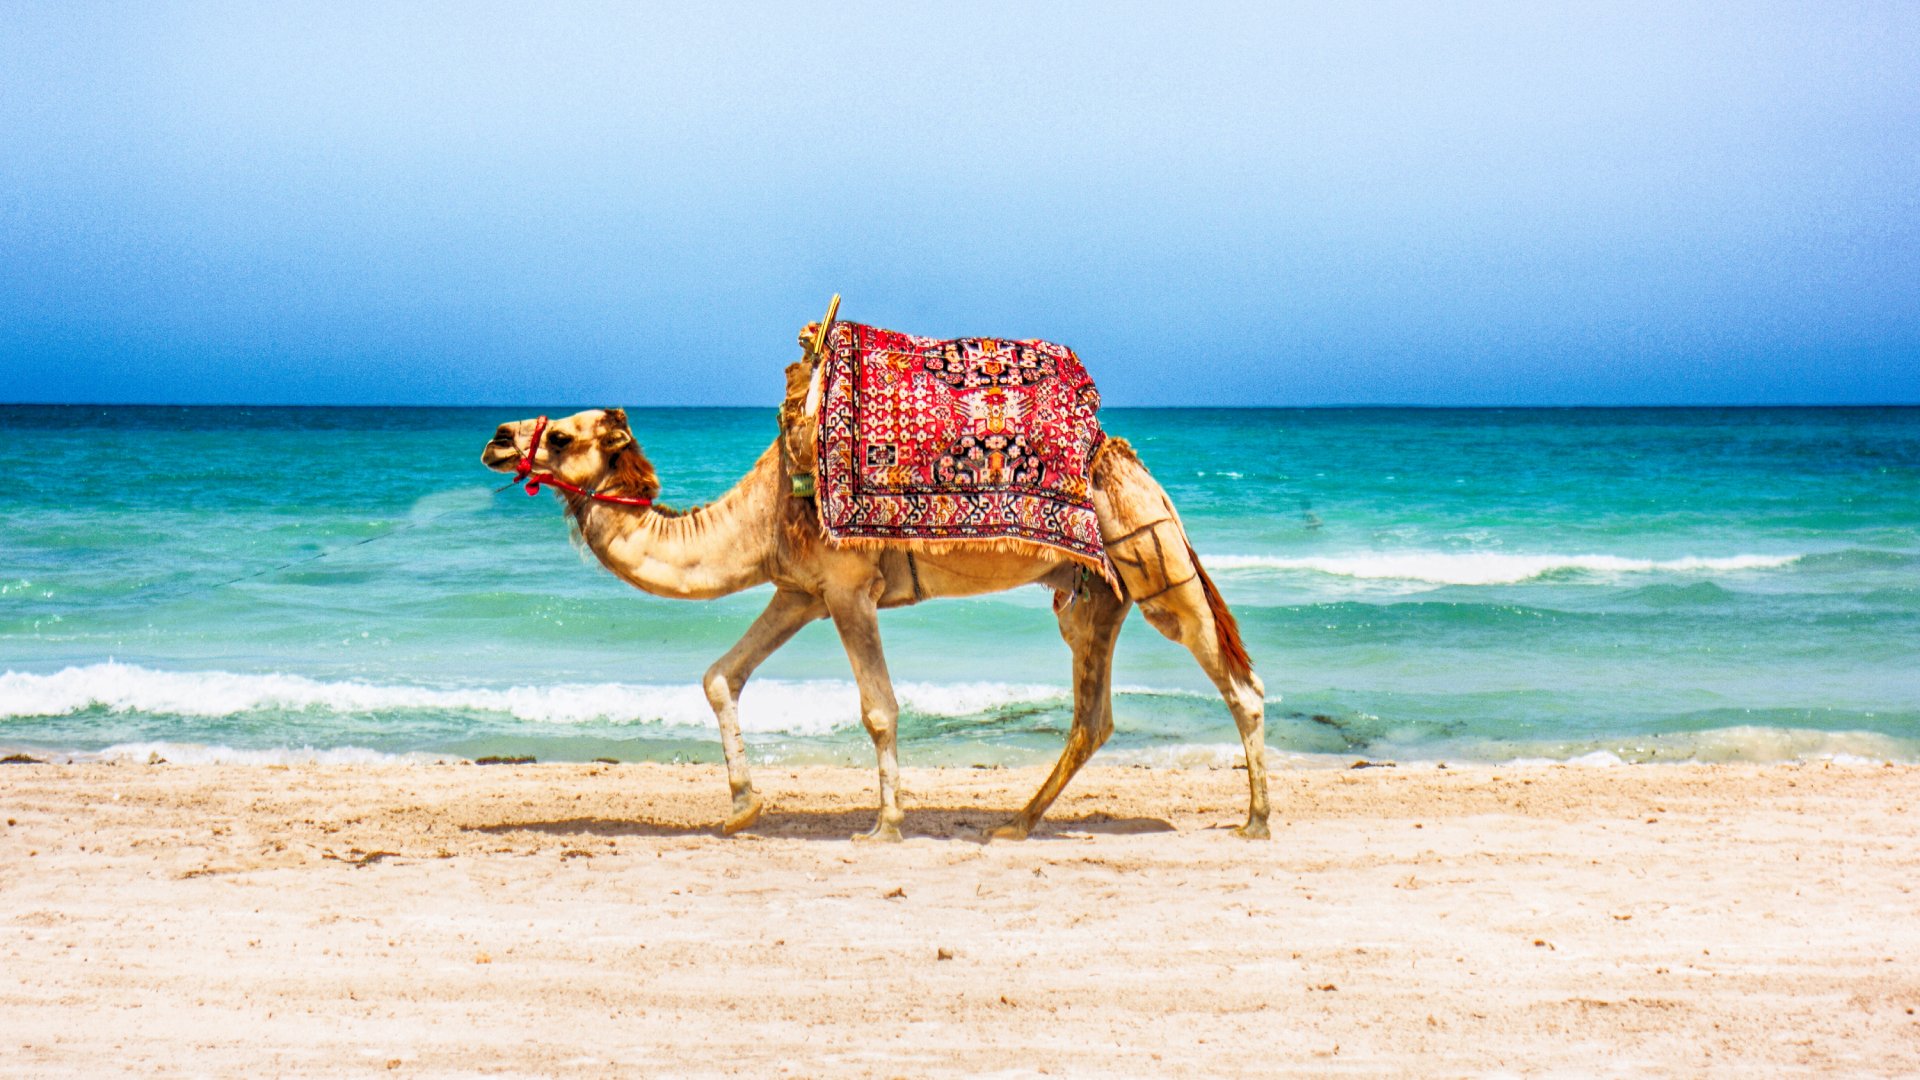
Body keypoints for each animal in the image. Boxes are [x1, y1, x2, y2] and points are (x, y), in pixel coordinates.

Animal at [480, 379, 1269, 842]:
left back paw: (1256, 821)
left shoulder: (846, 587)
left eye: (562, 436)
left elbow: (880, 708)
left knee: (1241, 686)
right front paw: (742, 808)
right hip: (1094, 593)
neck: (759, 515)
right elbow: (720, 677)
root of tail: (1133, 464)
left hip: (1151, 557)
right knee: (1092, 715)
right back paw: (1016, 823)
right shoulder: (799, 591)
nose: (496, 438)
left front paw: (884, 825)